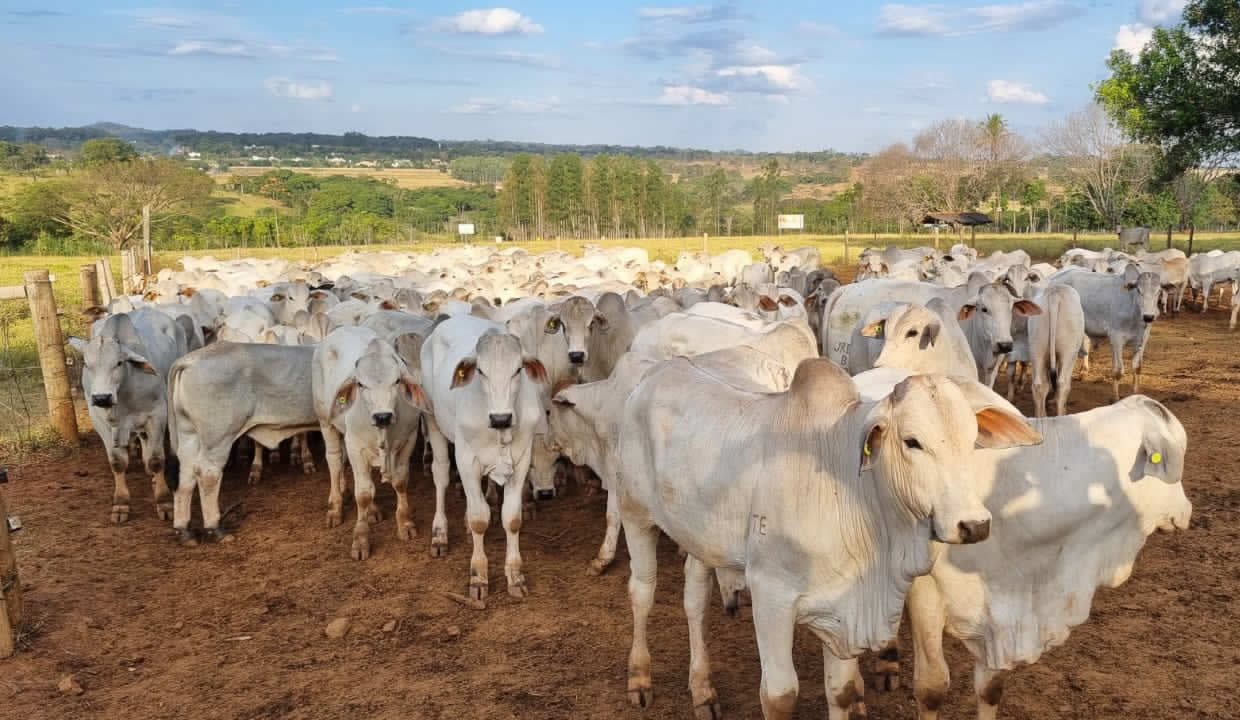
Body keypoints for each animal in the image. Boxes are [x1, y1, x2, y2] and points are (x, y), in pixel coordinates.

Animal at [419, 314, 550, 599]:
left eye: (518, 370)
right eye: (480, 371)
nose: (501, 418)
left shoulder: (521, 461)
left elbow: (512, 519)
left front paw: (515, 576)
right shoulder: (466, 461)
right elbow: (480, 520)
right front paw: (478, 576)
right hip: (433, 421)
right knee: (441, 475)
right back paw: (440, 533)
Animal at [617, 354, 1036, 718]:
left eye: (971, 439)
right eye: (912, 441)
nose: (974, 525)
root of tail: (660, 371)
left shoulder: (842, 607)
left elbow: (843, 692)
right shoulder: (770, 594)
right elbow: (779, 696)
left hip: (701, 538)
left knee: (695, 600)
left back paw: (703, 691)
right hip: (634, 514)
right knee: (642, 591)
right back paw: (639, 679)